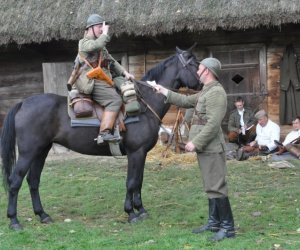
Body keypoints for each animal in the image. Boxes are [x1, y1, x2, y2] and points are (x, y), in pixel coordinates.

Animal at [1, 46, 199, 229]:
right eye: (194, 64)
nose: (203, 82)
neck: (144, 106)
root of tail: (23, 103)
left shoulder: (141, 154)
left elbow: (139, 182)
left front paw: (141, 209)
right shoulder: (135, 152)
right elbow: (131, 182)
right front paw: (131, 213)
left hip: (41, 151)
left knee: (33, 181)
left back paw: (42, 215)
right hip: (28, 153)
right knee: (15, 181)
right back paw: (14, 220)